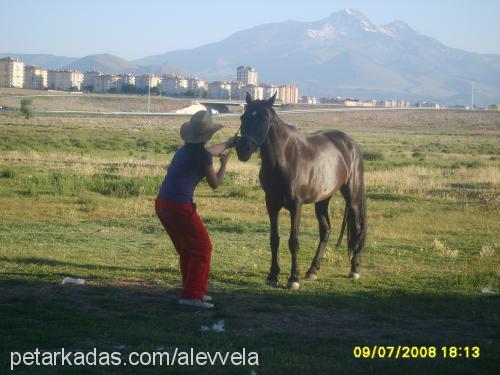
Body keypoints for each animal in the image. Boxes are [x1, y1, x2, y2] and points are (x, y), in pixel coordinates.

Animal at [234, 92, 368, 290]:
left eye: (264, 119)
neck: (283, 159)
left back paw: (354, 269)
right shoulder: (271, 204)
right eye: (243, 117)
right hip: (322, 199)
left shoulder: (295, 205)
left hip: (352, 195)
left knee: (357, 227)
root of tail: (351, 144)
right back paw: (313, 270)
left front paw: (293, 278)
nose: (243, 149)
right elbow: (274, 239)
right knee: (325, 230)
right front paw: (273, 274)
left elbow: (293, 241)